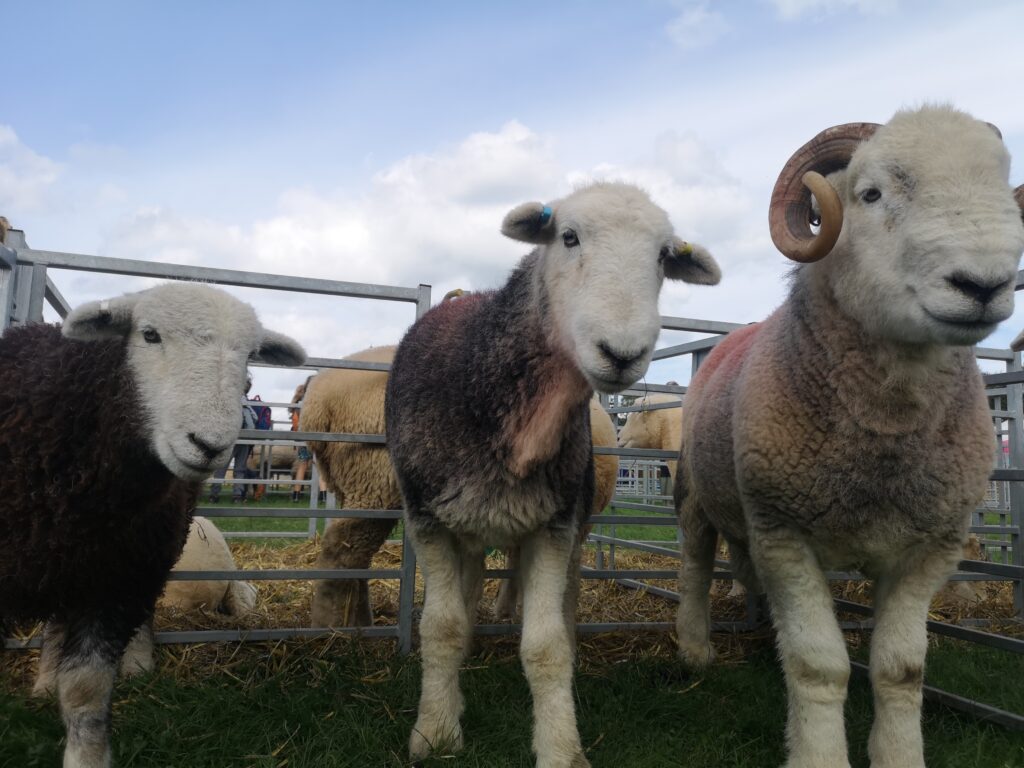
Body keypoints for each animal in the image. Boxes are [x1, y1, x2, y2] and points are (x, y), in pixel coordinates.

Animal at [0, 282, 305, 768]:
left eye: (249, 359)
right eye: (149, 335)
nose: (209, 445)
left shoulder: (117, 579)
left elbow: (86, 691)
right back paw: (45, 680)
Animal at [385, 181, 721, 767]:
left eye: (663, 257)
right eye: (568, 236)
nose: (622, 353)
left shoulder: (554, 523)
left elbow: (546, 646)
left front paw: (561, 747)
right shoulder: (426, 519)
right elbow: (442, 628)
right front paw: (435, 732)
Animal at [675, 106, 1024, 768]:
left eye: (1003, 190)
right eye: (871, 194)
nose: (983, 285)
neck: (884, 435)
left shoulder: (931, 547)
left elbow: (901, 670)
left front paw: (898, 754)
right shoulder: (785, 535)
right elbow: (819, 667)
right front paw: (817, 754)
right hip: (694, 494)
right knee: (697, 561)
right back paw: (696, 646)